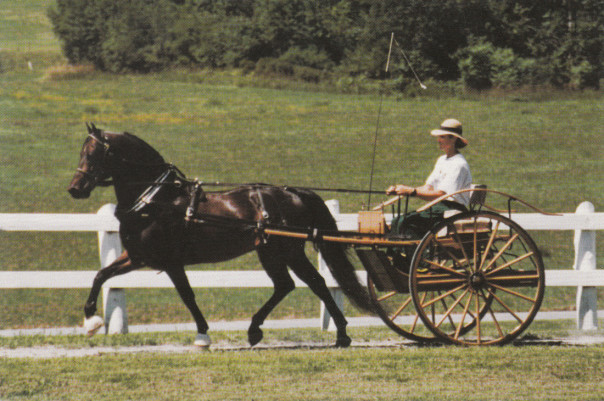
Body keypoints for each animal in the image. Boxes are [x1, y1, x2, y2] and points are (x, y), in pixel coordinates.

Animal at [69, 122, 372, 346]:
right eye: (81, 152)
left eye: (95, 153)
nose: (75, 189)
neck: (156, 199)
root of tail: (294, 193)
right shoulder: (137, 256)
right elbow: (101, 275)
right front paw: (91, 319)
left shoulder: (170, 262)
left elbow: (187, 296)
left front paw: (202, 335)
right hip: (271, 251)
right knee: (291, 284)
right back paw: (262, 330)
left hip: (286, 251)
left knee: (313, 283)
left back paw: (338, 334)